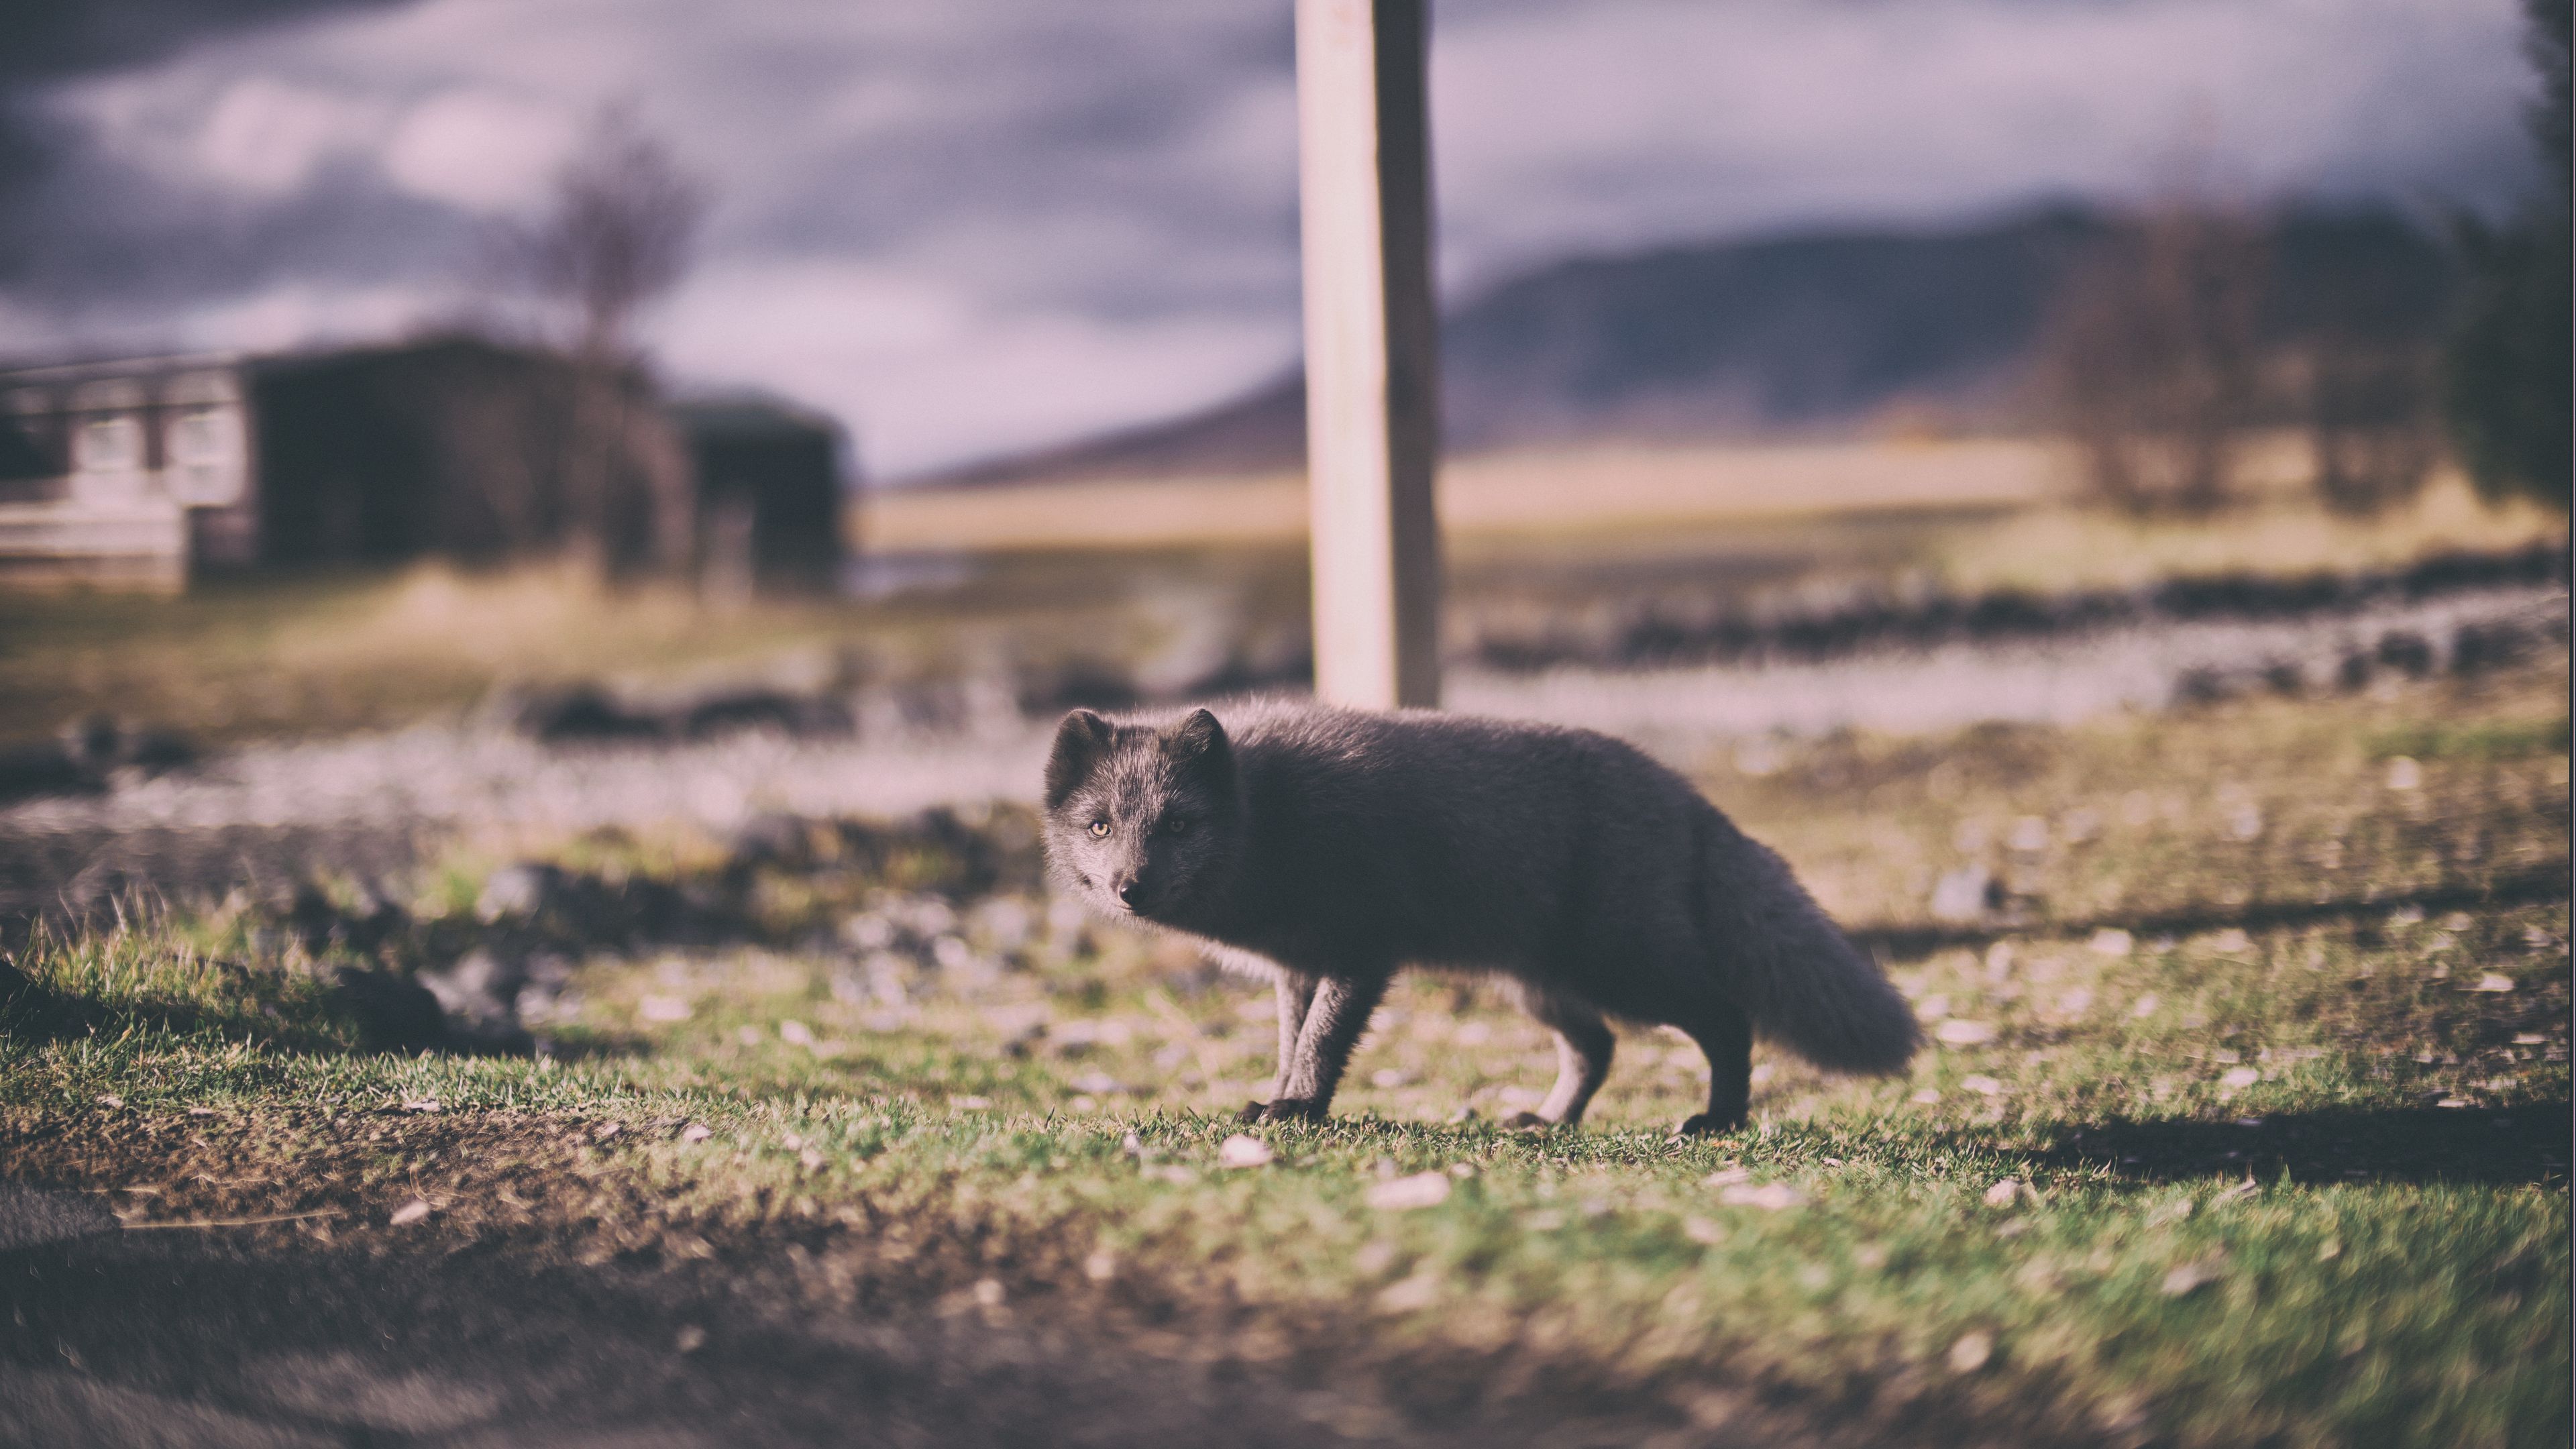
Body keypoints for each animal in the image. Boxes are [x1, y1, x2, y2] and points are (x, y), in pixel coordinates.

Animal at [1039, 701, 1919, 1135]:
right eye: (1100, 826)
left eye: (1179, 824)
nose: (1129, 888)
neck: (1272, 817)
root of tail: (1685, 795)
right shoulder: (1296, 966)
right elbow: (1292, 1042)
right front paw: (1277, 1099)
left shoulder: (1361, 952)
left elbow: (1322, 1043)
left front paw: (1299, 1110)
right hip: (1540, 982)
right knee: (1597, 1048)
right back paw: (1549, 1123)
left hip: (1624, 965)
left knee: (1726, 1018)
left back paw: (1720, 1120)